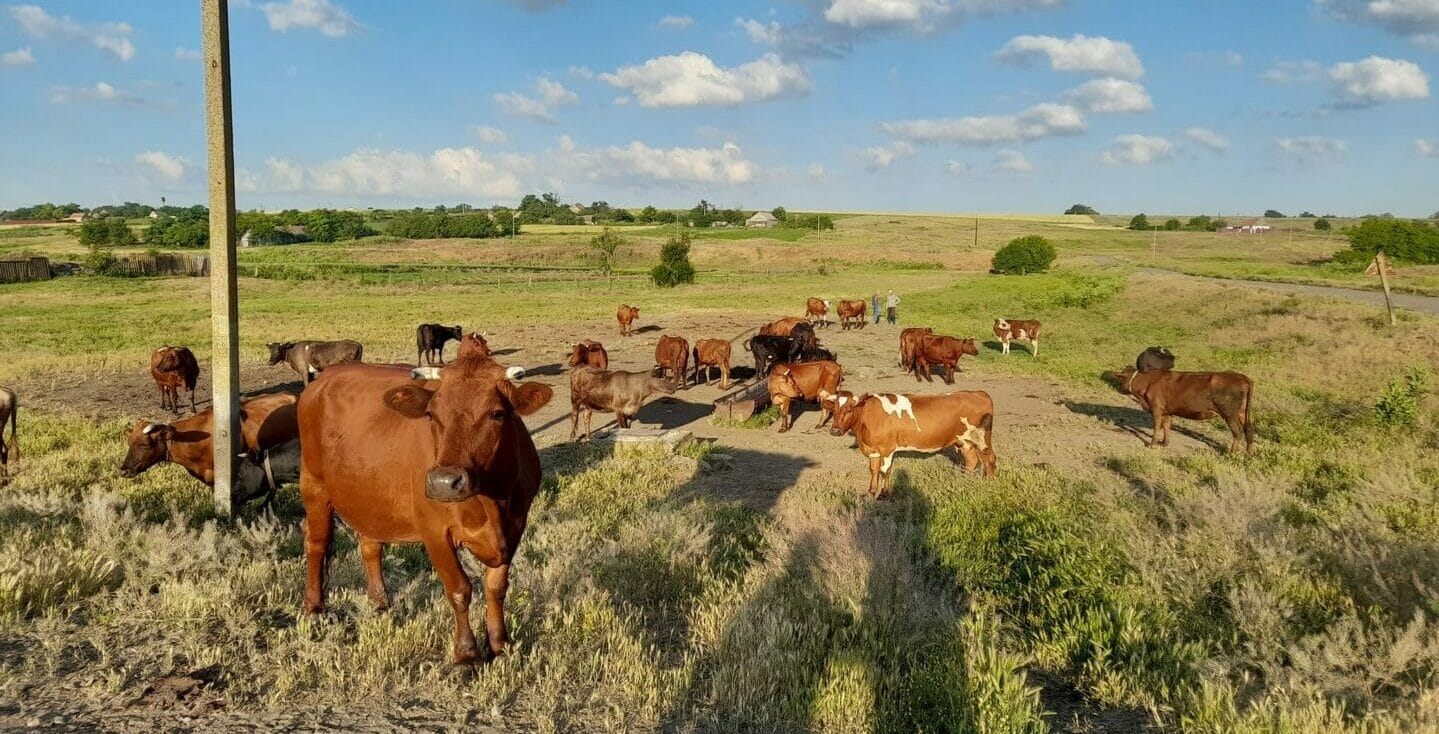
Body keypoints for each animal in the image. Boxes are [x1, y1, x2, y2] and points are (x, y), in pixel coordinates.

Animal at [299, 352, 555, 662]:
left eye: (496, 414)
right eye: (431, 415)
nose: (444, 482)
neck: (493, 501)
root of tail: (324, 377)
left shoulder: (516, 525)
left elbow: (496, 587)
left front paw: (500, 644)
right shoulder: (435, 532)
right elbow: (459, 590)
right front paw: (466, 655)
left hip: (369, 496)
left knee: (370, 545)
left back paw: (380, 604)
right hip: (313, 485)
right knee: (317, 543)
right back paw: (315, 609)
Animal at [823, 385, 990, 495]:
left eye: (850, 409)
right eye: (834, 410)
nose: (835, 430)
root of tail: (979, 393)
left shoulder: (887, 449)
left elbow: (884, 471)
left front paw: (884, 494)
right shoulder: (873, 450)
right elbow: (873, 469)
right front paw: (871, 491)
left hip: (982, 439)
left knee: (989, 459)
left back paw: (989, 482)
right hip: (964, 441)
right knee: (971, 460)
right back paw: (965, 480)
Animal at [1105, 367, 1254, 451]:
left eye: (1121, 378)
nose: (1119, 390)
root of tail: (1241, 377)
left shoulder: (1156, 408)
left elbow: (1157, 426)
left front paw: (1152, 444)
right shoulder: (1168, 411)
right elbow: (1166, 426)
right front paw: (1164, 443)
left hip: (1229, 413)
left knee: (1237, 432)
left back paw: (1231, 453)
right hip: (1242, 413)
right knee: (1248, 431)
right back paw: (1248, 454)